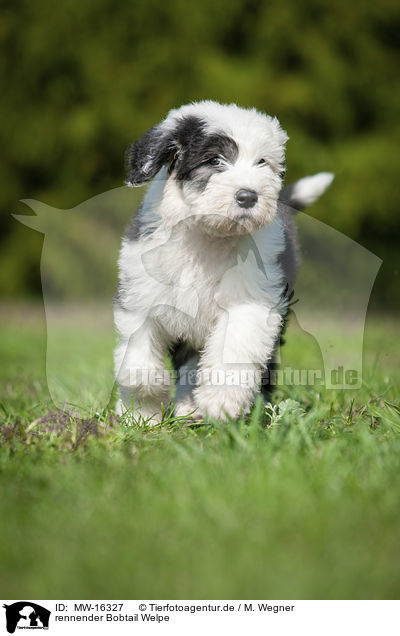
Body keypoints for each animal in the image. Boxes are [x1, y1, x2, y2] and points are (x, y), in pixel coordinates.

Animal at [114, 100, 332, 422]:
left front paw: (220, 402)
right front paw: (141, 413)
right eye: (215, 160)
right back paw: (187, 406)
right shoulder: (140, 295)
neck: (207, 237)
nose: (248, 196)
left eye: (262, 162)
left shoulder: (253, 301)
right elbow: (137, 364)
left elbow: (236, 347)